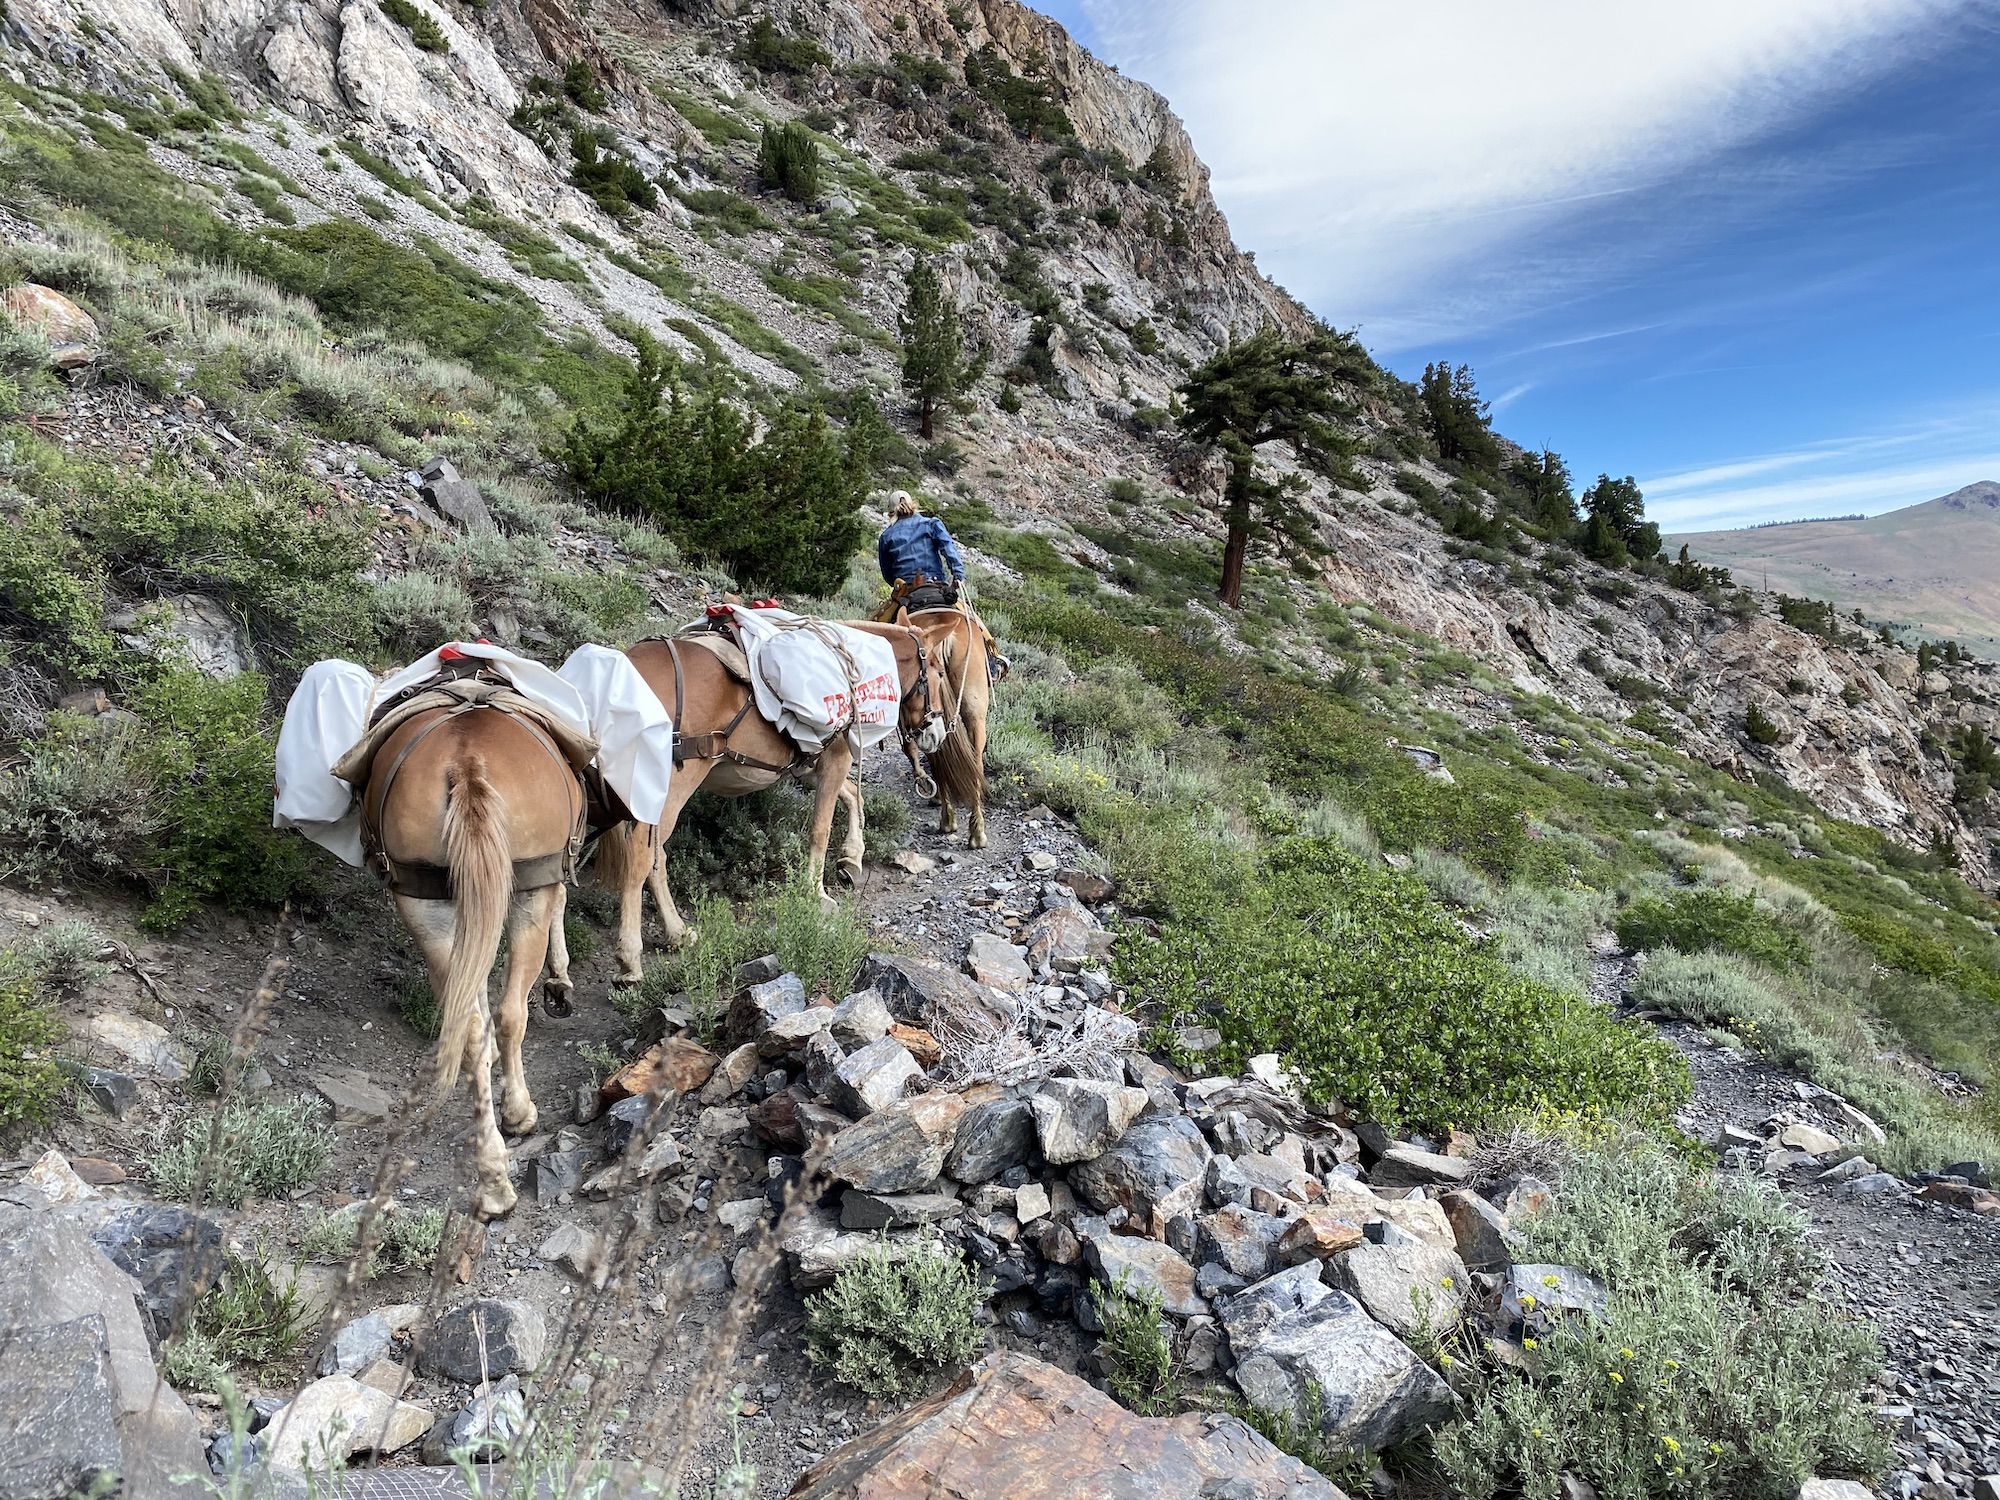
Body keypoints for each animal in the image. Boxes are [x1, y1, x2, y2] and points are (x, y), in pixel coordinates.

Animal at [358, 704, 580, 1224]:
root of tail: (467, 763)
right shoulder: (546, 881)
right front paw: (560, 981)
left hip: (425, 905)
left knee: (469, 1025)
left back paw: (493, 1182)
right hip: (528, 891)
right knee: (511, 1012)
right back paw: (518, 1116)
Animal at [592, 624, 944, 988]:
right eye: (940, 674)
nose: (938, 734)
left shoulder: (811, 765)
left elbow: (852, 795)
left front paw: (852, 856)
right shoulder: (837, 758)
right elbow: (821, 828)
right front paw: (817, 893)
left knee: (650, 857)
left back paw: (674, 934)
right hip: (671, 786)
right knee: (643, 857)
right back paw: (636, 956)